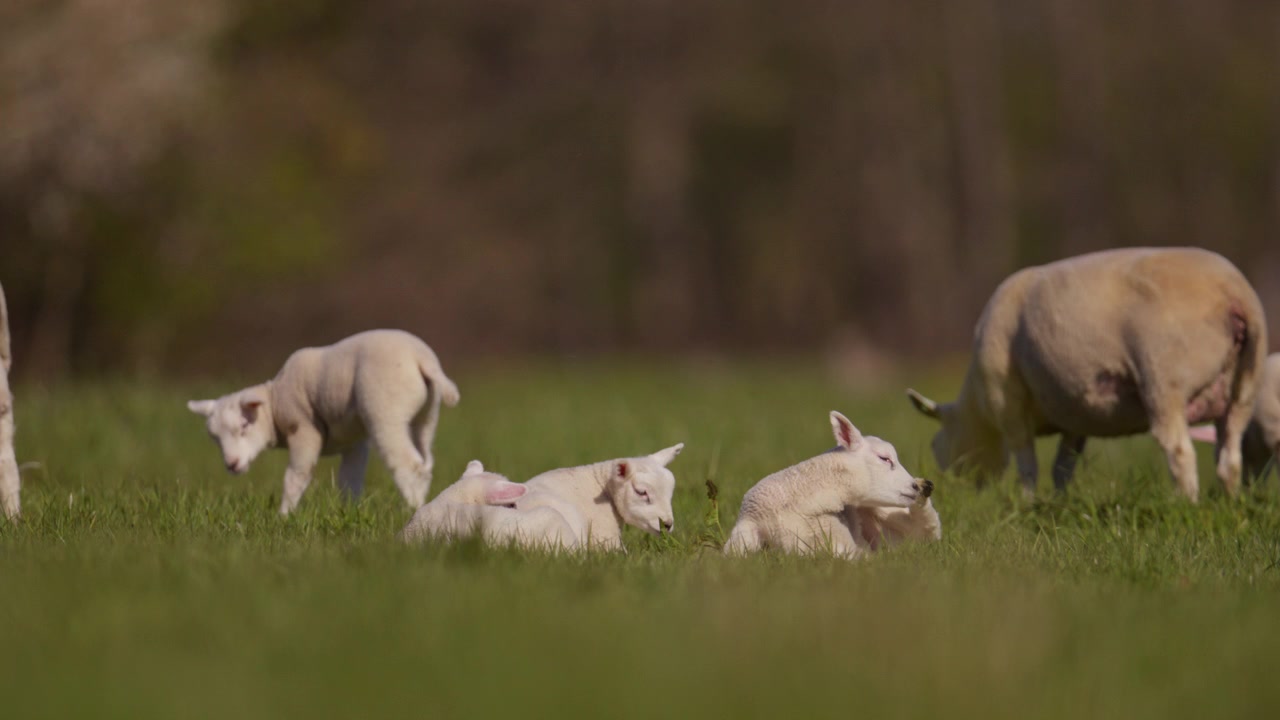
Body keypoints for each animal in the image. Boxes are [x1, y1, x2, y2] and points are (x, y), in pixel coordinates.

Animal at [187, 329, 460, 515]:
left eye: (244, 426)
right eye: (215, 438)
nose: (231, 465)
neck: (275, 403)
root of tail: (422, 359)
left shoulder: (304, 429)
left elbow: (296, 476)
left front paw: (284, 516)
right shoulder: (354, 443)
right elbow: (349, 481)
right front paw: (350, 511)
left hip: (386, 411)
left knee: (408, 464)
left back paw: (411, 509)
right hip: (427, 415)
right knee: (425, 461)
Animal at [906, 247, 1267, 501]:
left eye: (937, 443)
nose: (958, 488)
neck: (979, 409)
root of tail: (1234, 296)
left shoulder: (1008, 402)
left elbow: (1028, 465)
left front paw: (1027, 502)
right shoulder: (1074, 416)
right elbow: (1062, 467)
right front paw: (1057, 503)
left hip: (1165, 380)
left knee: (1180, 451)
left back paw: (1184, 503)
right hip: (1244, 389)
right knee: (1229, 456)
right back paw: (1228, 502)